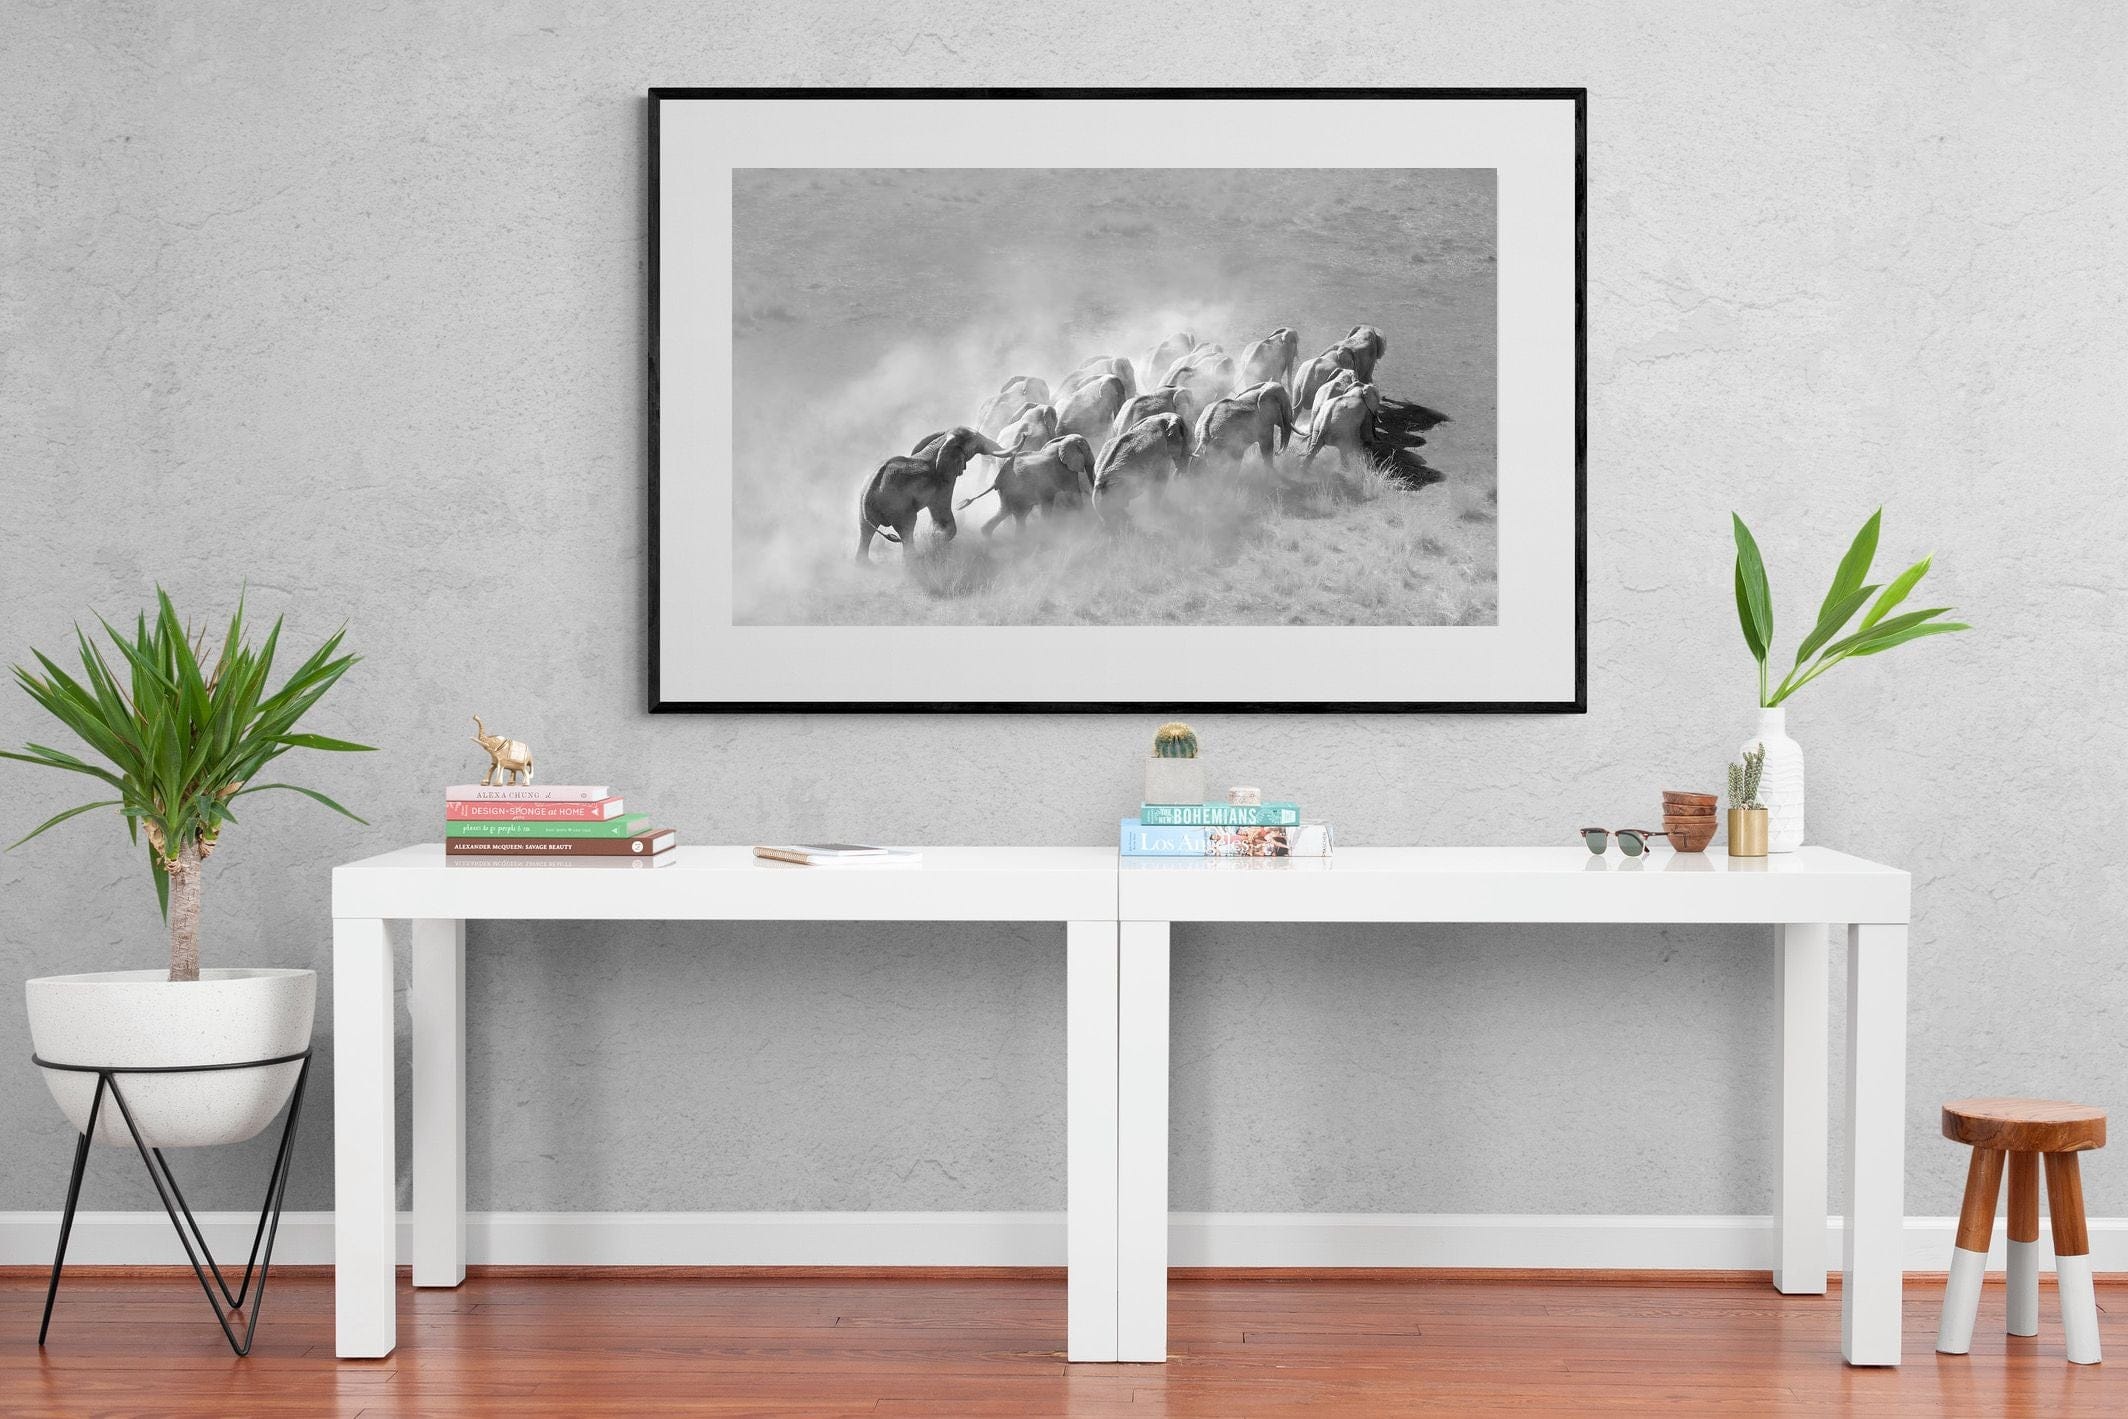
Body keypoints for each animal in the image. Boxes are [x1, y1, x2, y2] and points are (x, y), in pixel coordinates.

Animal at [856, 425, 1013, 562]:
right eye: (975, 439)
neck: (942, 440)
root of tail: (871, 487)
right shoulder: (944, 480)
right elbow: (941, 509)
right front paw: (937, 541)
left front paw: (935, 538)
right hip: (898, 505)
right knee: (907, 528)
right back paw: (914, 561)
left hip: (867, 505)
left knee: (866, 530)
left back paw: (865, 565)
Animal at [954, 433, 1097, 534]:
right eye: (1088, 449)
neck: (1063, 441)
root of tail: (996, 480)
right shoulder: (1065, 470)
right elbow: (1073, 494)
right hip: (1017, 492)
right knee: (1020, 515)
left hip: (1009, 493)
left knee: (1005, 512)